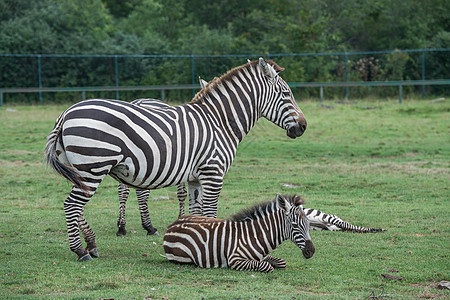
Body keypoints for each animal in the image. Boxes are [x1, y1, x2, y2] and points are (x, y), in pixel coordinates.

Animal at [44, 58, 308, 260]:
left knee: (77, 206)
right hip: (93, 167)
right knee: (71, 205)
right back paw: (80, 251)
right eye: (287, 94)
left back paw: (91, 245)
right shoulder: (213, 173)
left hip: (82, 170)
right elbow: (210, 213)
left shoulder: (195, 178)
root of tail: (66, 113)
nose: (304, 127)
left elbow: (196, 212)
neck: (219, 122)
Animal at [163, 193, 314, 274]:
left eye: (308, 224)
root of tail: (173, 224)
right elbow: (267, 267)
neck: (255, 235)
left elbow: (282, 262)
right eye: (295, 225)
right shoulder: (235, 259)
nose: (311, 251)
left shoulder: (261, 256)